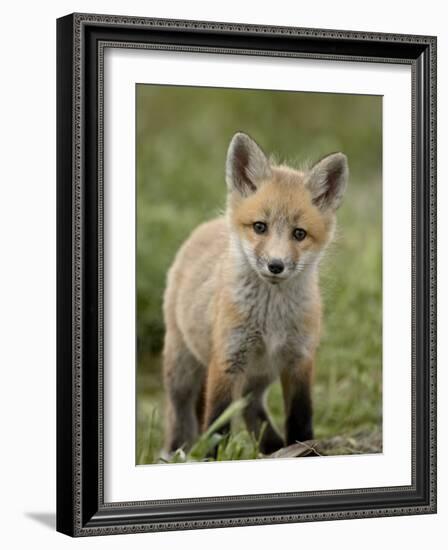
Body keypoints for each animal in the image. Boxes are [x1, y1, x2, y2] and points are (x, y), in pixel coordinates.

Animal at [163, 134, 348, 458]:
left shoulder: (299, 360)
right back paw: (175, 453)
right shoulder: (227, 359)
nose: (276, 265)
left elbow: (300, 419)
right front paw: (211, 460)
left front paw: (304, 449)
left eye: (299, 234)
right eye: (260, 227)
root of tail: (207, 226)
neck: (271, 318)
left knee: (252, 409)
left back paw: (273, 447)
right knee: (180, 414)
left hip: (259, 377)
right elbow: (216, 424)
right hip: (182, 369)